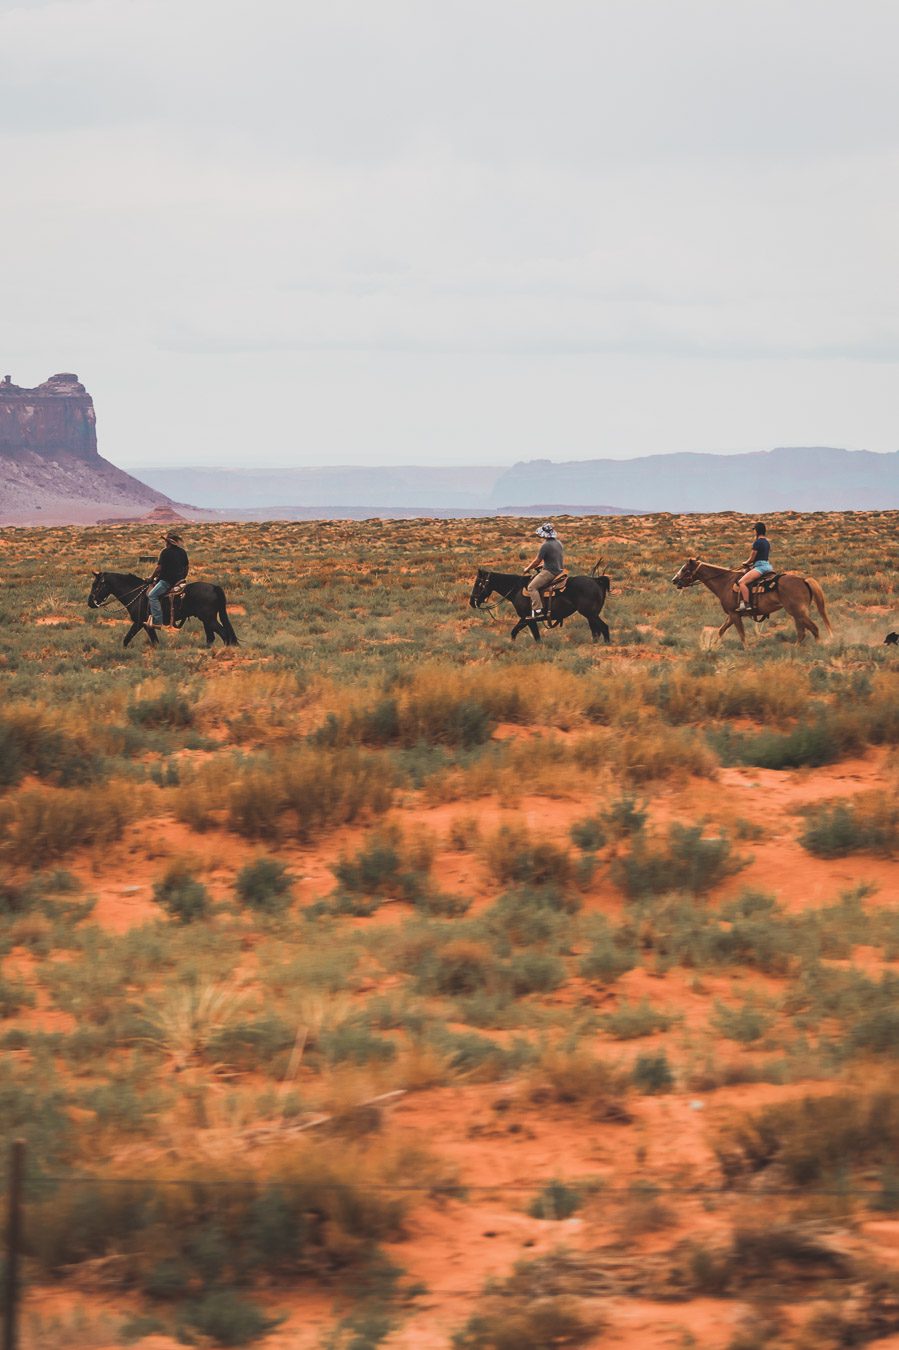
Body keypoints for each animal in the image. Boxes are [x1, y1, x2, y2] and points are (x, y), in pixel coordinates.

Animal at [87, 569, 237, 648]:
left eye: (96, 585)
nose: (90, 602)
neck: (136, 593)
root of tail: (214, 587)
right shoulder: (145, 625)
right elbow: (151, 641)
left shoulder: (140, 623)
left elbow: (129, 639)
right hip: (206, 620)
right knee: (211, 637)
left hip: (209, 619)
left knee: (224, 634)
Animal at [469, 561, 610, 639]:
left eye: (478, 584)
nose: (471, 602)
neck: (516, 589)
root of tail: (596, 580)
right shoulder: (525, 620)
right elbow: (515, 633)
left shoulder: (527, 619)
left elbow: (532, 636)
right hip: (591, 615)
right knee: (596, 632)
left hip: (591, 614)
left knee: (604, 628)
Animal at [669, 556, 831, 645]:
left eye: (685, 569)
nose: (674, 580)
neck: (725, 582)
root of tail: (803, 580)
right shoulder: (732, 615)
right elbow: (721, 630)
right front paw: (714, 646)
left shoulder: (735, 615)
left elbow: (741, 634)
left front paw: (746, 649)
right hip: (797, 613)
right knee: (802, 633)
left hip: (798, 612)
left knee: (814, 629)